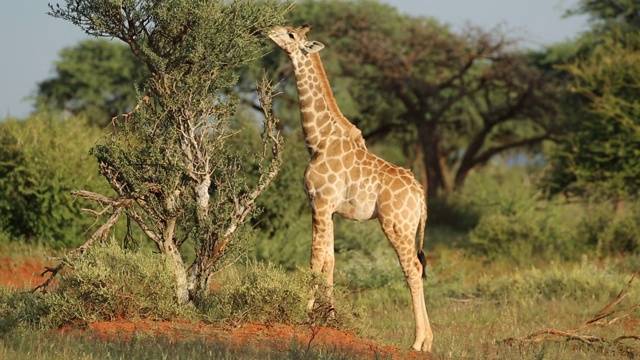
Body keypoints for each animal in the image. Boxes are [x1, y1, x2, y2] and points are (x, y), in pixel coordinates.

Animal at [268, 23, 432, 350]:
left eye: (291, 35)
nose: (269, 31)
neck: (319, 140)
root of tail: (420, 195)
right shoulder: (330, 209)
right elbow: (330, 260)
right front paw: (328, 315)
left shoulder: (319, 201)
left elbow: (316, 258)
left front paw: (304, 312)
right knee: (418, 268)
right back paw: (429, 341)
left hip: (397, 225)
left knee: (413, 269)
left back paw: (418, 342)